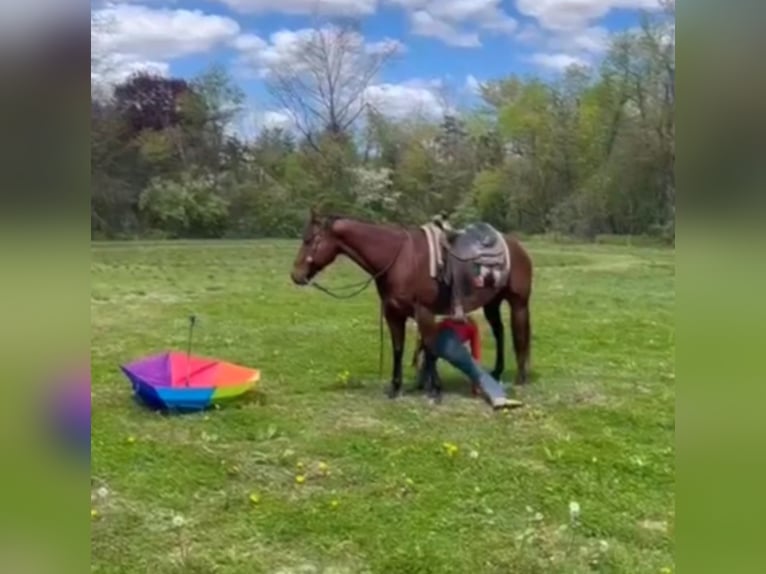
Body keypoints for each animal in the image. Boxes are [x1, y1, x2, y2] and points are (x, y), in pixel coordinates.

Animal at [288, 209, 536, 402]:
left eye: (309, 240)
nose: (296, 275)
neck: (399, 259)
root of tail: (516, 246)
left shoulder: (424, 312)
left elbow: (430, 347)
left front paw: (435, 390)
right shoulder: (394, 313)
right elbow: (399, 348)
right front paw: (395, 387)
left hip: (518, 303)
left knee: (519, 335)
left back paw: (520, 378)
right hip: (492, 302)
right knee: (499, 332)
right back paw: (497, 371)